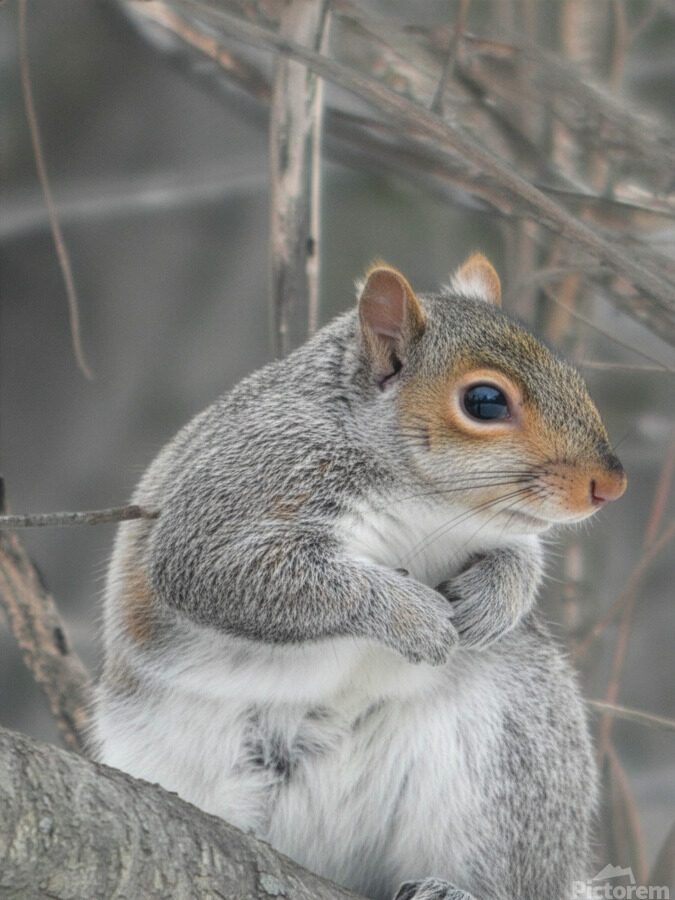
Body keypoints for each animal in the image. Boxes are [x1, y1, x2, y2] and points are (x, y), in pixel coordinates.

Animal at [93, 253, 627, 900]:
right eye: (485, 402)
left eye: (572, 374)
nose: (611, 485)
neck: (424, 500)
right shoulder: (246, 486)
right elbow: (229, 570)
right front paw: (414, 618)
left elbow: (521, 557)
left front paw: (492, 602)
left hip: (515, 755)